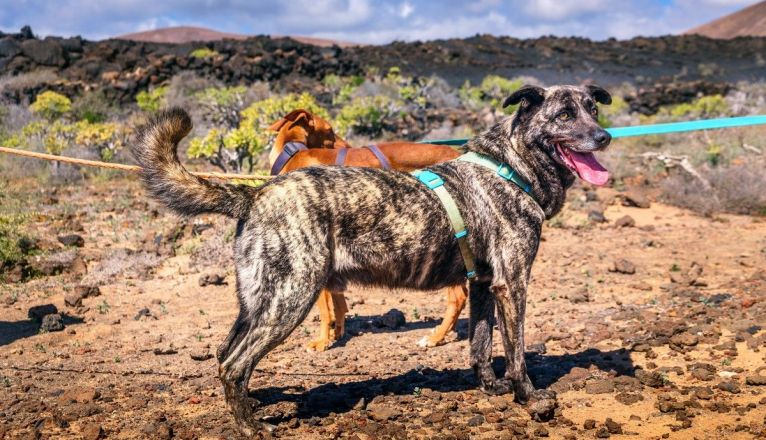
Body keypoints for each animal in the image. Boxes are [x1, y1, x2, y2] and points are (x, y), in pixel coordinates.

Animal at [268, 109, 472, 350]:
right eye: (330, 130)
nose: (349, 145)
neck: (294, 153)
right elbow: (338, 301)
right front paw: (337, 333)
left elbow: (325, 308)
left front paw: (322, 341)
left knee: (458, 296)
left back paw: (436, 337)